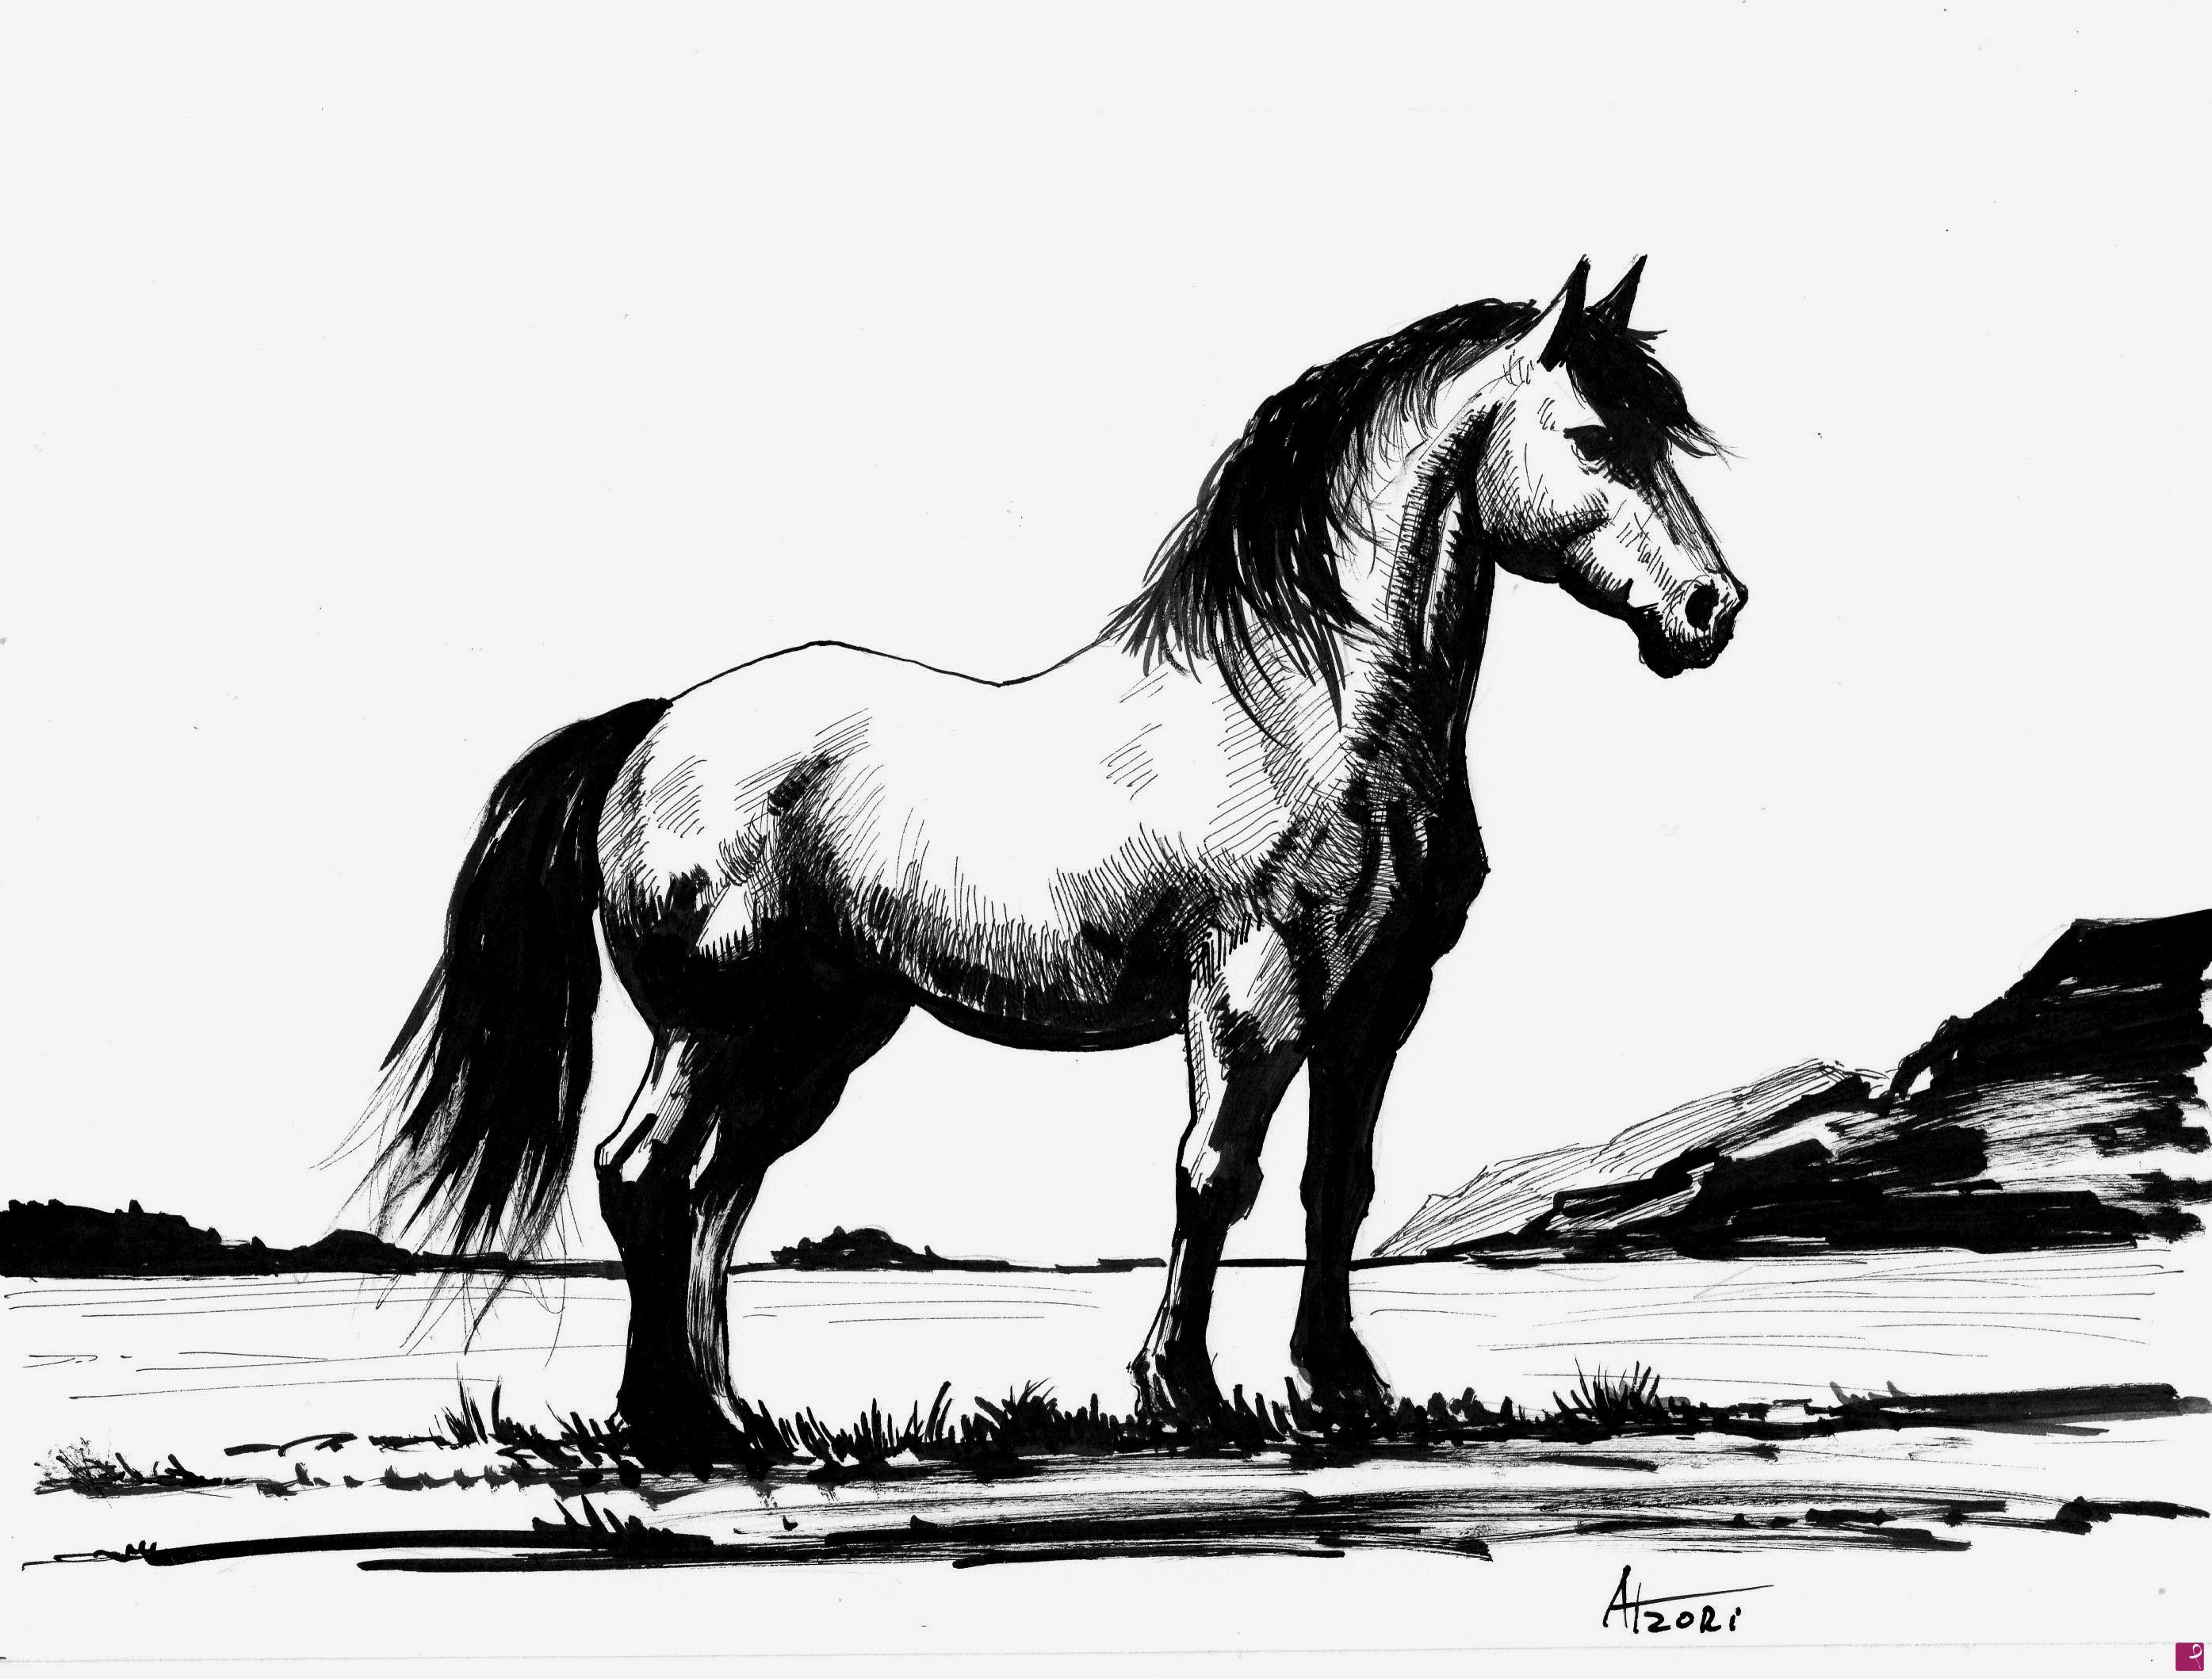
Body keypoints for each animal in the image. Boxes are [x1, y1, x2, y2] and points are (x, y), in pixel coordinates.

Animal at [367, 258, 1746, 1455]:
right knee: (643, 1176)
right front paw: (1181, 1391)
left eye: (1664, 438)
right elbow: (1215, 1174)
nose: (1709, 610)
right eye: (1589, 438)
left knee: (717, 1195)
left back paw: (728, 1409)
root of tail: (653, 729)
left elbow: (1333, 1185)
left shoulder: (1374, 1000)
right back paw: (667, 1417)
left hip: (814, 1037)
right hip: (710, 1026)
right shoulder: (1248, 991)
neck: (1314, 708)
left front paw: (1342, 1385)